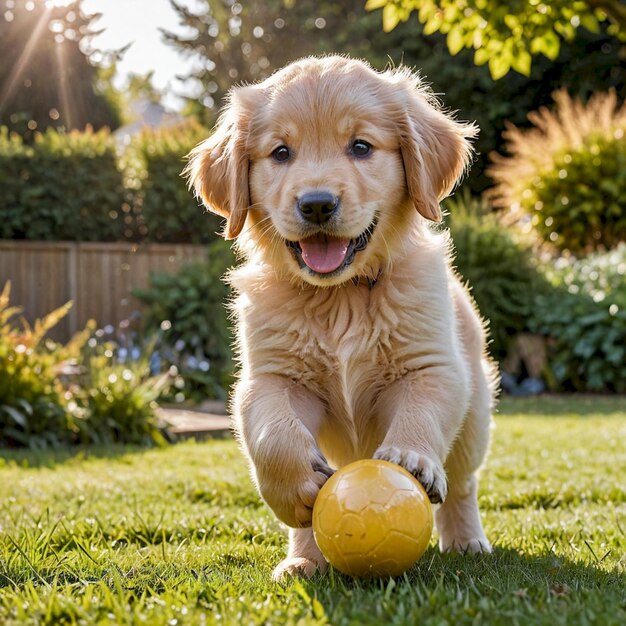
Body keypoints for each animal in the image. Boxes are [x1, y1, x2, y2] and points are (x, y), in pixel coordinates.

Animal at [185, 56, 498, 576]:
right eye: (281, 152)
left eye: (361, 147)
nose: (316, 204)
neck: (340, 297)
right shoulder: (272, 377)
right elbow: (272, 433)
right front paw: (294, 488)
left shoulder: (433, 365)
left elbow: (422, 410)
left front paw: (410, 458)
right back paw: (303, 559)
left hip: (475, 416)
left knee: (464, 482)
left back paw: (466, 540)